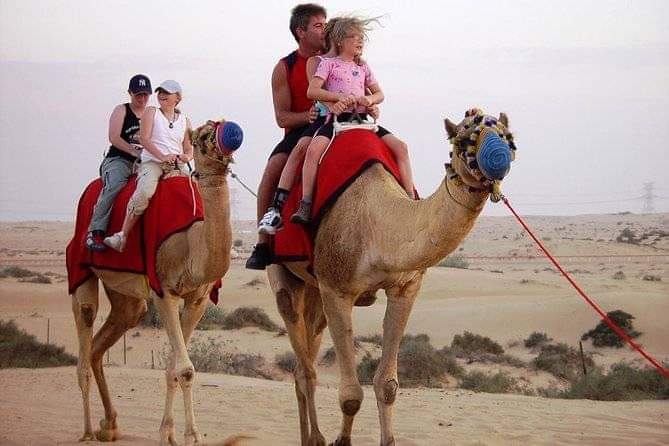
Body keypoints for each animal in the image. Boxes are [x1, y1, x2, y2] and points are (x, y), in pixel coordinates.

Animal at [71, 120, 241, 445]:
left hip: (127, 297)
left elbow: (173, 368)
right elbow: (185, 369)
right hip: (80, 269)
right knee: (84, 341)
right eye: (202, 136)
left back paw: (109, 425)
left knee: (103, 342)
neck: (190, 242)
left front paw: (170, 433)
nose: (231, 134)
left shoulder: (198, 299)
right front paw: (191, 436)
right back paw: (86, 431)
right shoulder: (165, 291)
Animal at [268, 109, 516, 446]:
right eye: (464, 137)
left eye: (506, 134)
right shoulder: (336, 289)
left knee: (302, 360)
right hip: (284, 273)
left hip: (314, 289)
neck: (378, 225)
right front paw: (339, 440)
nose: (499, 157)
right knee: (305, 367)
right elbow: (350, 395)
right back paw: (315, 438)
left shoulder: (405, 288)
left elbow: (387, 386)